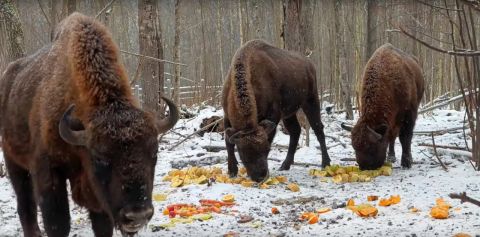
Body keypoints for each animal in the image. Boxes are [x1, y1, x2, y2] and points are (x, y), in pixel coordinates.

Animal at [0, 13, 179, 237]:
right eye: (100, 158)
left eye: (154, 153)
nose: (137, 215)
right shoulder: (48, 171)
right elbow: (58, 223)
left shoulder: (95, 194)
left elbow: (102, 223)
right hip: (14, 163)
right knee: (26, 205)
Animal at [222, 39, 330, 182]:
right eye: (243, 153)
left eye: (266, 149)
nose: (260, 176)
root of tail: (309, 64)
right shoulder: (226, 116)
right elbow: (228, 143)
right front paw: (232, 171)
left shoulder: (273, 115)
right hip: (289, 113)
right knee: (295, 131)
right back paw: (285, 165)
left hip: (310, 101)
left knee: (318, 129)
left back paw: (326, 163)